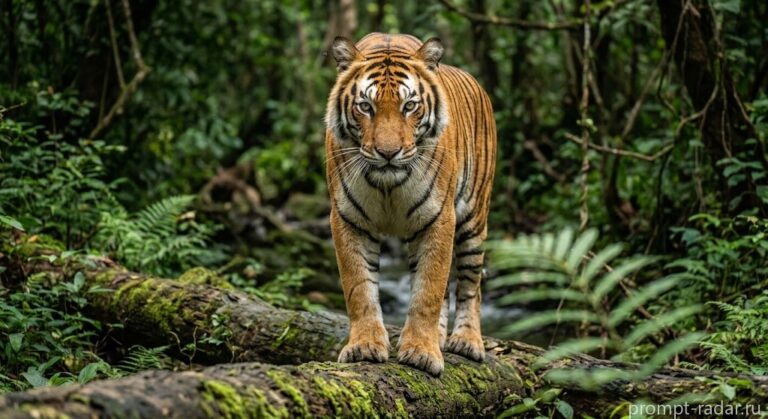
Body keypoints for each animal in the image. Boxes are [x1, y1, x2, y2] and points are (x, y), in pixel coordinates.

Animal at [325, 33, 496, 376]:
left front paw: (421, 353)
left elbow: (428, 290)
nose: (388, 153)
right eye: (366, 106)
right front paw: (364, 346)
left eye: (409, 106)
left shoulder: (438, 217)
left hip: (473, 220)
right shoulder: (348, 219)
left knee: (470, 284)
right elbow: (359, 288)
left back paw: (467, 342)